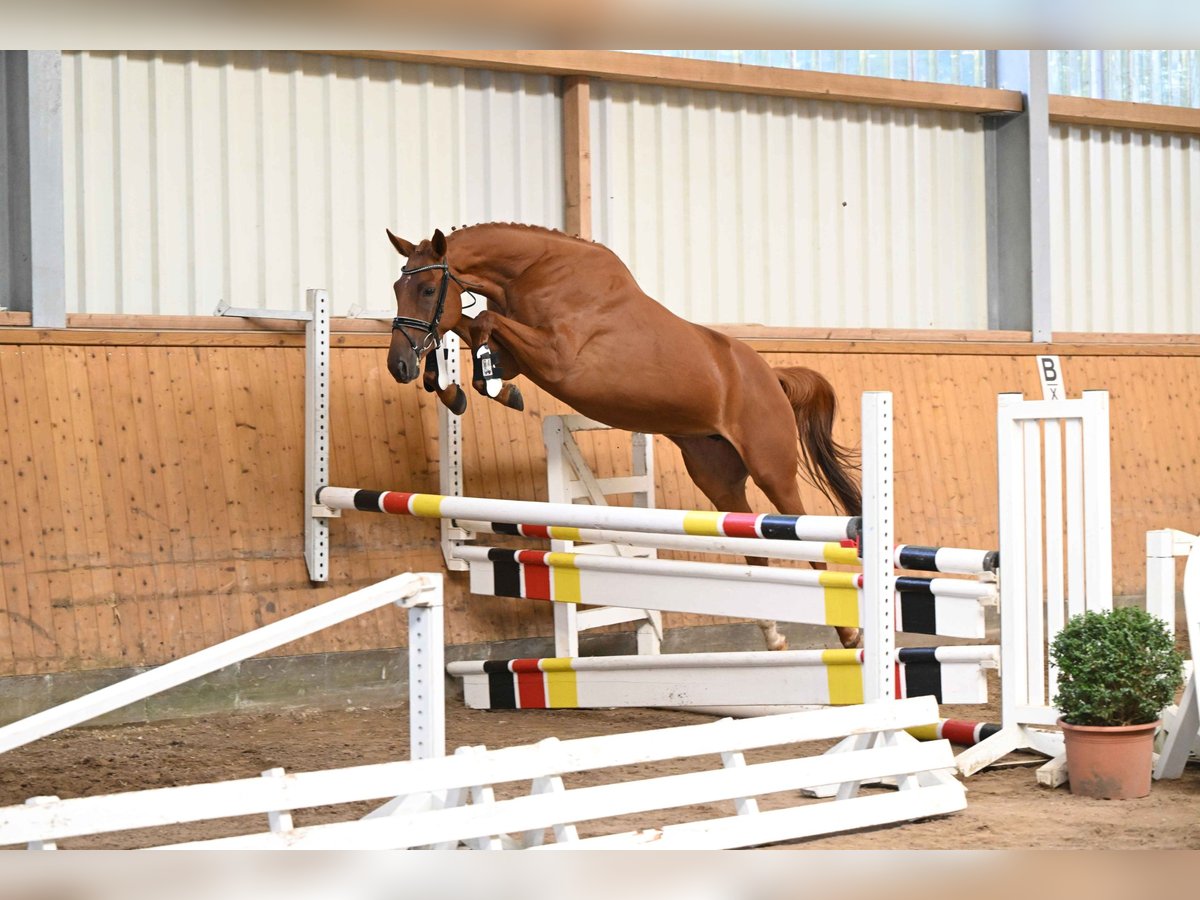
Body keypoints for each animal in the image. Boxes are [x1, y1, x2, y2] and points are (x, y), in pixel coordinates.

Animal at [386, 223, 864, 652]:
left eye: (427, 289)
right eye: (396, 287)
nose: (398, 366)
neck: (534, 273)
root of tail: (772, 376)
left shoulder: (557, 358)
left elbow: (483, 320)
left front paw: (482, 384)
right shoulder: (520, 354)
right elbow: (472, 327)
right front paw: (461, 388)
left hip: (771, 468)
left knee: (803, 534)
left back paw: (848, 636)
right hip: (717, 477)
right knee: (752, 546)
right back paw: (773, 636)